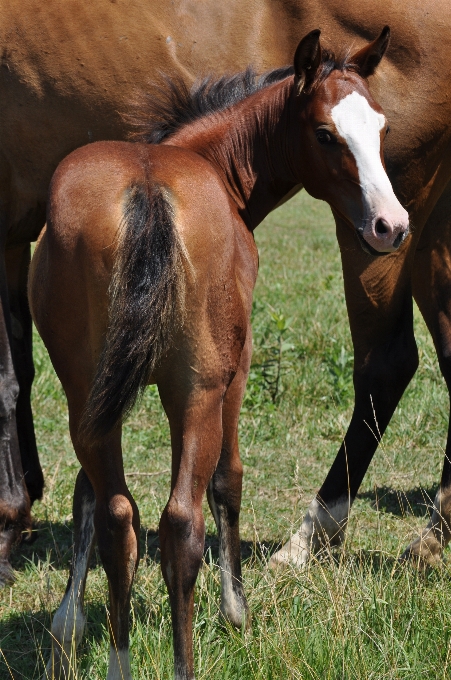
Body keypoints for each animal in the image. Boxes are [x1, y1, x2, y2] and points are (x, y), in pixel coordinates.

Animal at [30, 30, 408, 680]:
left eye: (380, 128)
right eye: (325, 133)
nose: (391, 226)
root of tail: (147, 190)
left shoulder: (103, 394)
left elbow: (84, 495)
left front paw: (67, 623)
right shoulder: (237, 367)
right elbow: (228, 479)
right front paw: (237, 613)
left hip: (88, 390)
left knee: (118, 515)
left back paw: (120, 660)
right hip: (199, 389)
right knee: (181, 522)